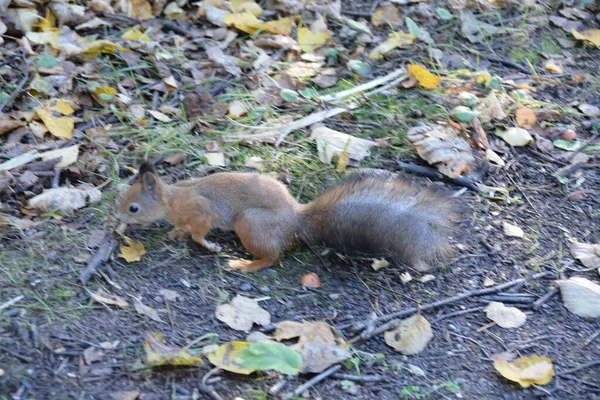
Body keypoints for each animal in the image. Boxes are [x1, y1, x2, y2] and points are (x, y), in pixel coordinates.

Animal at [117, 162, 458, 272]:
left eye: (133, 207)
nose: (117, 219)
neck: (172, 199)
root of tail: (295, 220)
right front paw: (177, 233)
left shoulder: (199, 209)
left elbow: (200, 230)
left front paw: (206, 244)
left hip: (250, 223)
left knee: (272, 257)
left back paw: (245, 264)